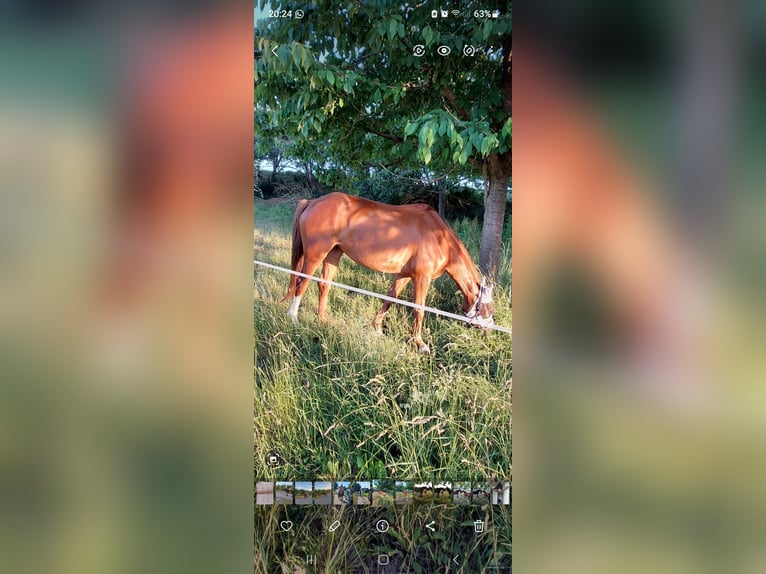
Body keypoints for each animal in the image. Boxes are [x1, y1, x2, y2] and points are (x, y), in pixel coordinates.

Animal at [284, 194, 498, 354]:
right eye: (487, 308)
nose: (489, 330)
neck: (440, 238)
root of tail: (313, 202)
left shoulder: (403, 275)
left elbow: (390, 299)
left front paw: (377, 328)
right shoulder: (422, 278)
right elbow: (419, 310)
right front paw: (420, 344)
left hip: (333, 254)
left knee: (323, 285)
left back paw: (323, 319)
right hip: (315, 255)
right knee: (301, 283)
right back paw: (293, 318)